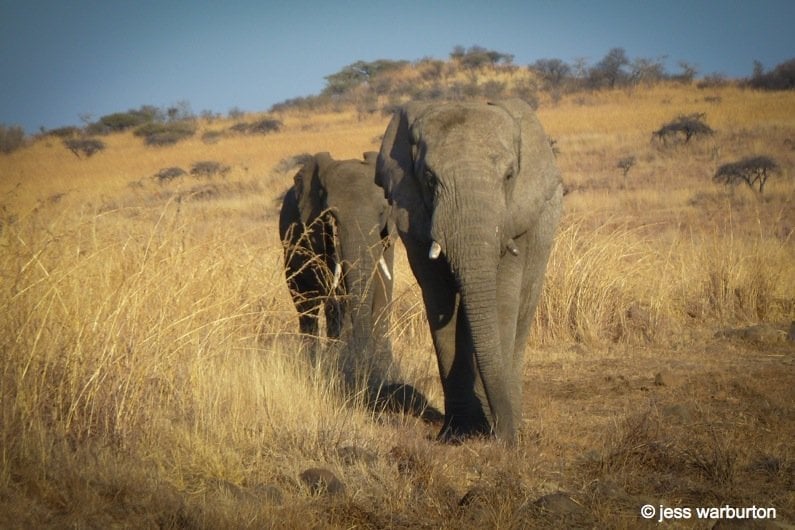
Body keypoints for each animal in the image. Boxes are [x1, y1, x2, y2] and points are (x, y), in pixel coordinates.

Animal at [278, 152, 396, 388]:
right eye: (331, 216)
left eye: (381, 212)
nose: (364, 363)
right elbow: (338, 296)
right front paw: (345, 363)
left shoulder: (387, 235)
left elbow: (383, 286)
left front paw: (384, 368)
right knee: (308, 307)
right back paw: (313, 362)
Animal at [376, 98, 564, 442]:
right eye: (429, 179)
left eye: (509, 175)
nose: (508, 441)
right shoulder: (414, 218)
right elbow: (439, 297)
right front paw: (458, 433)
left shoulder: (515, 218)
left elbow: (502, 298)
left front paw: (496, 428)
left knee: (523, 308)